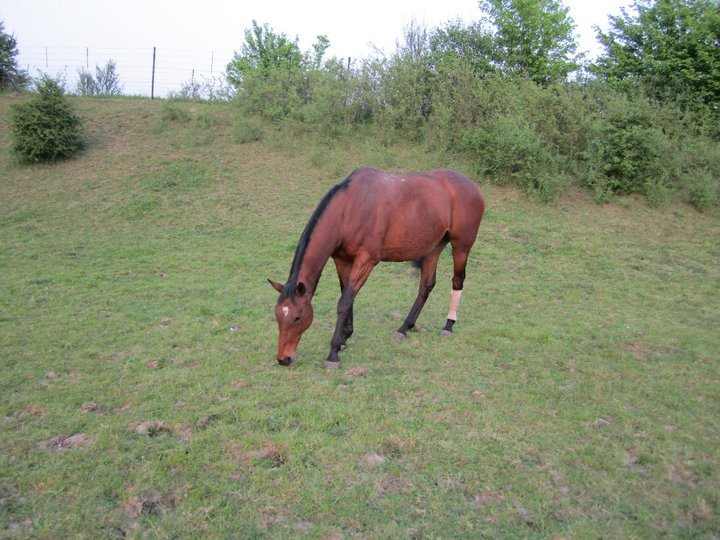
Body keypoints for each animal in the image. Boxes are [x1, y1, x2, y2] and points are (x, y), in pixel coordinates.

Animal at [269, 167, 485, 369]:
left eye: (298, 317)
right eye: (278, 315)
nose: (283, 359)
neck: (349, 208)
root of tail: (472, 185)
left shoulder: (366, 261)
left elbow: (344, 302)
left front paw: (333, 353)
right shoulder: (342, 260)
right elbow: (347, 296)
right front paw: (345, 338)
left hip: (461, 247)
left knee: (457, 281)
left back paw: (448, 325)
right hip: (433, 248)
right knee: (426, 285)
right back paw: (404, 328)